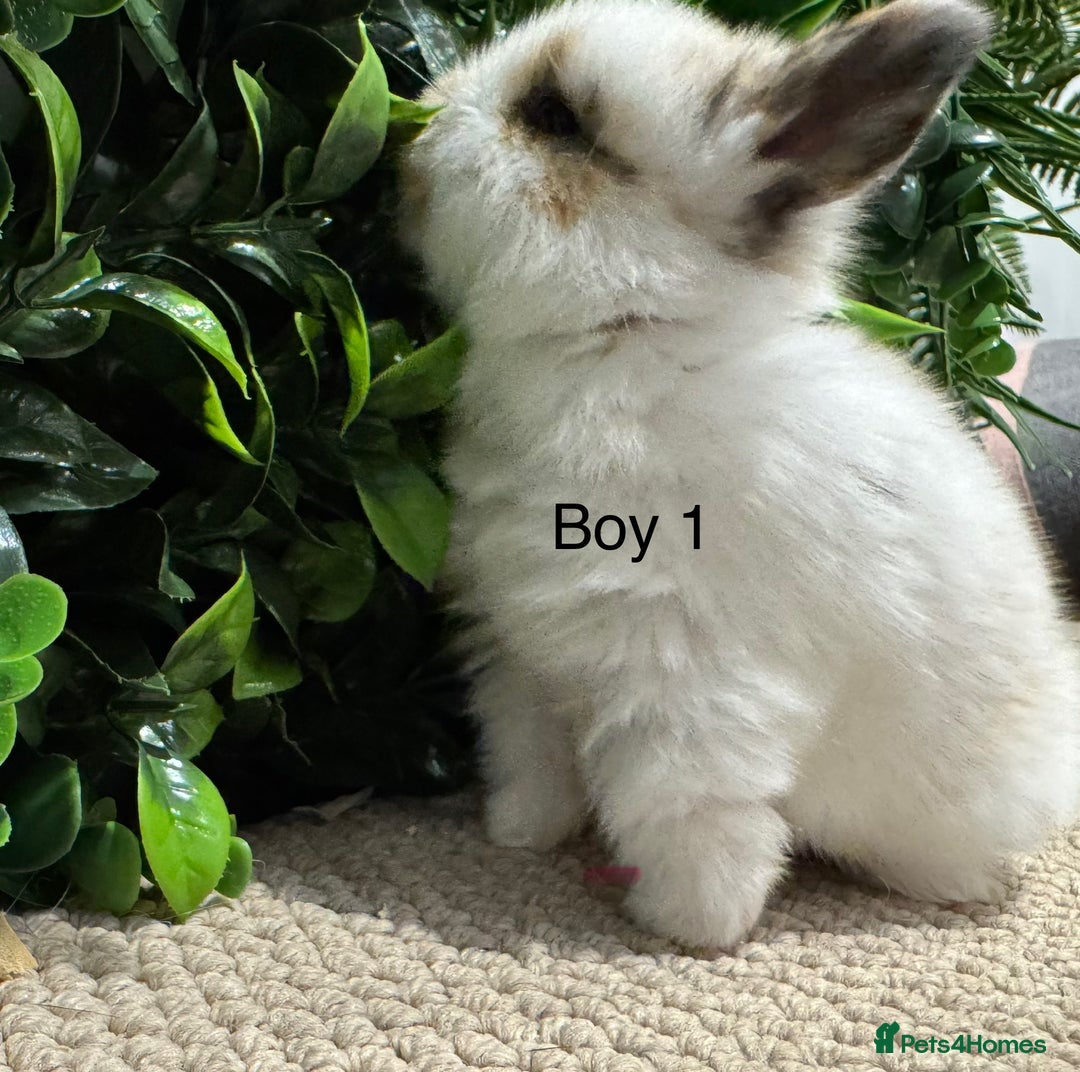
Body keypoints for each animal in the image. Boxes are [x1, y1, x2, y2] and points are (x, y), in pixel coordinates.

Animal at [399, 0, 1080, 948]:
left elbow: (694, 820)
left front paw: (686, 927)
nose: (414, 139)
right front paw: (520, 838)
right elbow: (532, 760)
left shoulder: (691, 686)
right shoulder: (521, 661)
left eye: (555, 118)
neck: (628, 339)